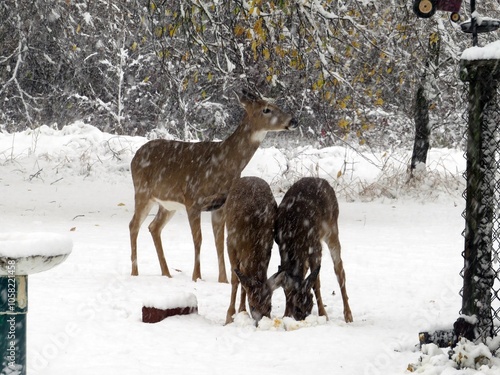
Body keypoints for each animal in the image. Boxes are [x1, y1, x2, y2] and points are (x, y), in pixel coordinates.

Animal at [129, 91, 296, 282]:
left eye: (278, 105)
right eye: (266, 109)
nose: (293, 121)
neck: (224, 164)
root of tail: (134, 157)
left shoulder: (220, 205)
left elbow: (219, 241)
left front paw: (222, 280)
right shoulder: (192, 200)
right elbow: (198, 239)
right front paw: (196, 277)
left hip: (168, 204)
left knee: (153, 227)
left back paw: (167, 273)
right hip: (142, 192)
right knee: (134, 225)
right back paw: (135, 272)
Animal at [224, 177, 284, 326]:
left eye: (270, 306)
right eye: (252, 306)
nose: (260, 323)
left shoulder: (268, 247)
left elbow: (244, 282)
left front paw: (241, 312)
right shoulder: (230, 243)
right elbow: (235, 280)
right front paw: (229, 317)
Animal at [274, 177, 352, 324]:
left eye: (310, 304)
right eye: (297, 307)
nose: (302, 318)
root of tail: (323, 180)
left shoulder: (315, 247)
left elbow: (316, 282)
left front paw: (323, 314)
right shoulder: (281, 246)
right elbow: (287, 283)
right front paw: (285, 315)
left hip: (332, 229)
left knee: (339, 270)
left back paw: (348, 315)